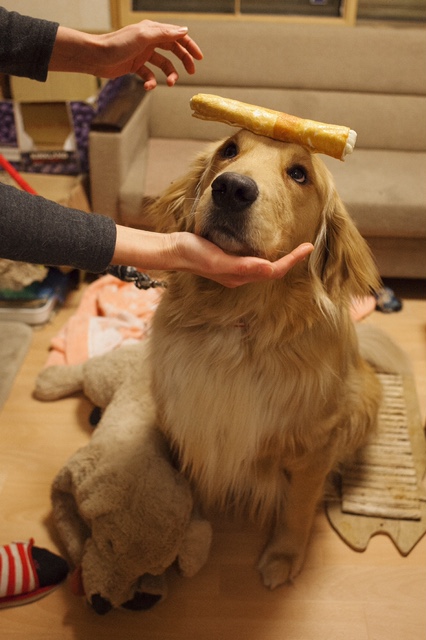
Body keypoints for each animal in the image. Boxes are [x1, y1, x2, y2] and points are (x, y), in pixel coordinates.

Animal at [142, 130, 402, 592]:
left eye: (299, 174)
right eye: (228, 149)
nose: (232, 188)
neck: (240, 322)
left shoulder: (315, 445)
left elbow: (298, 506)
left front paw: (284, 556)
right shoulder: (189, 416)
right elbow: (191, 482)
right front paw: (189, 535)